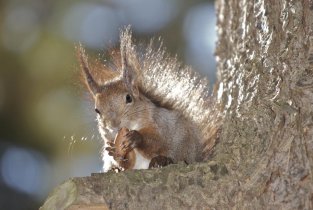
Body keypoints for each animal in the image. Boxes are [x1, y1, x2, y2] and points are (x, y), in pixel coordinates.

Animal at [77, 26, 219, 171]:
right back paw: (115, 169)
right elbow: (128, 163)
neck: (133, 125)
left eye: (129, 98)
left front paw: (136, 138)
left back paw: (161, 160)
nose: (114, 125)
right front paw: (115, 154)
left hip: (185, 144)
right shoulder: (110, 139)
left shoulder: (160, 124)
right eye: (97, 110)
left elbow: (158, 142)